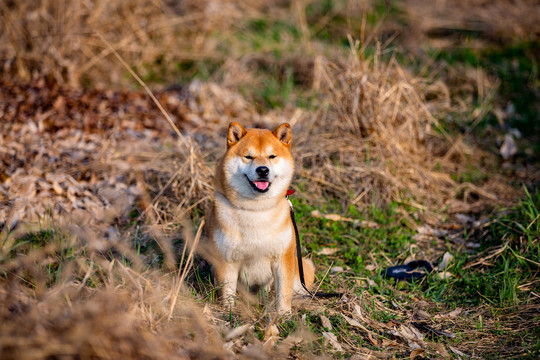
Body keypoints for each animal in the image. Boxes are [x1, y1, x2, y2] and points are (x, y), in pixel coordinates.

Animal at [206, 121, 316, 312]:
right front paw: (229, 313)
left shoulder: (283, 258)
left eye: (272, 156)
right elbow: (227, 293)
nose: (263, 170)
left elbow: (283, 292)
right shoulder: (226, 260)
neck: (256, 210)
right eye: (248, 157)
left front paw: (283, 314)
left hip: (301, 267)